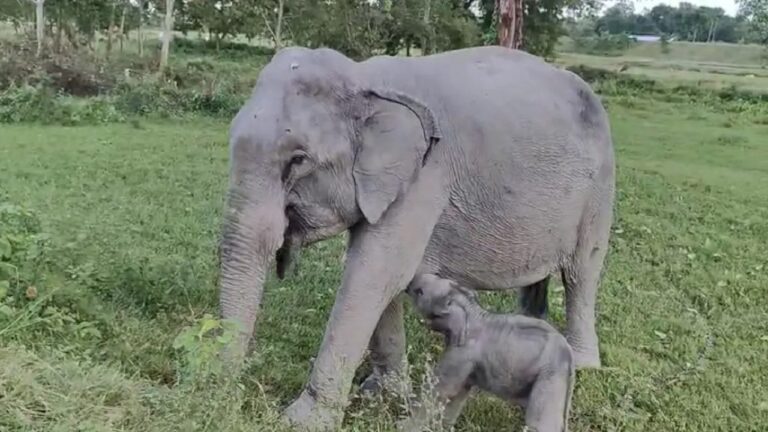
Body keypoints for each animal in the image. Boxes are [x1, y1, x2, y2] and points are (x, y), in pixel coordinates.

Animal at [218, 45, 615, 431]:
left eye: (299, 159)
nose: (237, 397)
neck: (363, 76)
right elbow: (383, 278)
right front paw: (383, 392)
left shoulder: (426, 176)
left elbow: (376, 272)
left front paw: (302, 421)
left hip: (600, 185)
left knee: (582, 271)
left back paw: (584, 362)